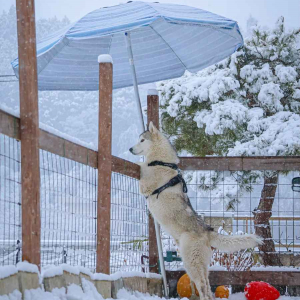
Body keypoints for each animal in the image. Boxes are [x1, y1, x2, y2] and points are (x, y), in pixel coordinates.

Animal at [129, 122, 262, 300]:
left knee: (204, 288)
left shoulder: (146, 182)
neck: (161, 161)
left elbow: (141, 166)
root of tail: (207, 231)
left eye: (142, 140)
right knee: (208, 287)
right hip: (201, 265)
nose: (130, 149)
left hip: (191, 263)